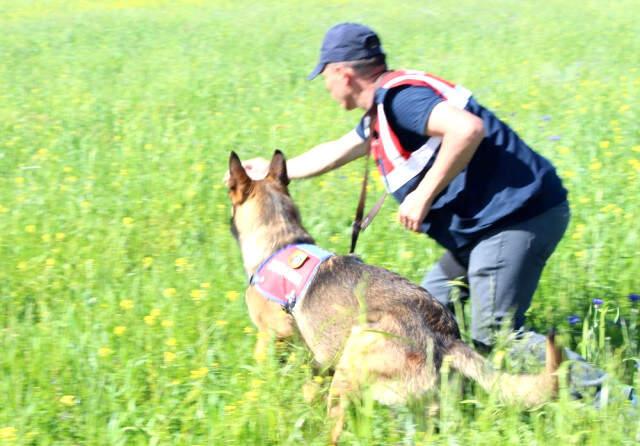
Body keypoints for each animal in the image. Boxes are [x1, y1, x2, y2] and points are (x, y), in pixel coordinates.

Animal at [225, 151, 560, 446]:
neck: (280, 239)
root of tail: (444, 336)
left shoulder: (272, 336)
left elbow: (261, 374)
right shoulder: (316, 361)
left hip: (353, 361)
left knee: (335, 431)